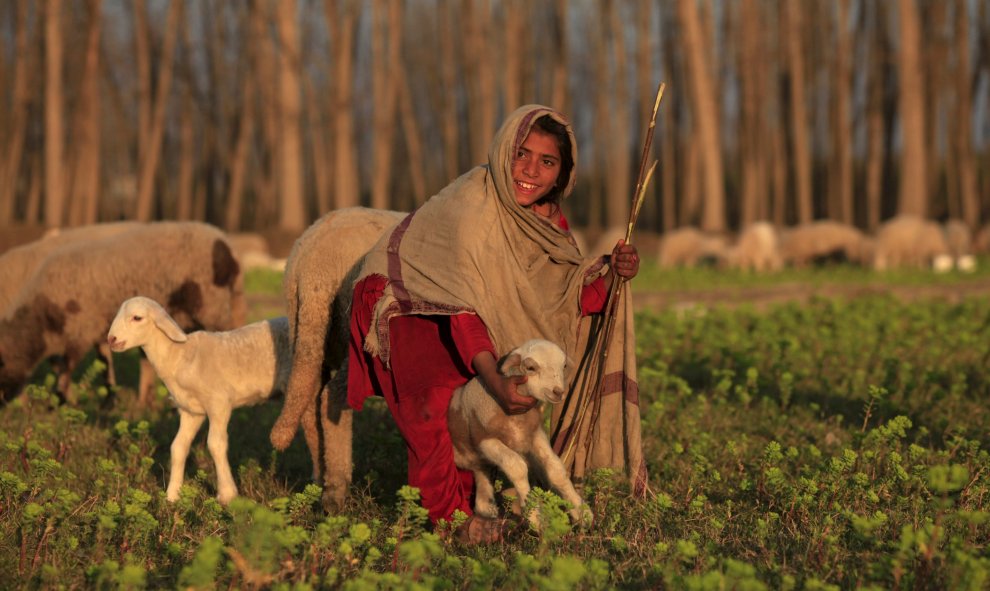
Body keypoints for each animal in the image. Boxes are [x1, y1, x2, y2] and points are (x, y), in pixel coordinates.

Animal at [0, 223, 246, 408]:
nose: (4, 404)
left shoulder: (80, 328)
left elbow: (66, 368)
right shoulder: (97, 328)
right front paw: (108, 400)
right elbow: (101, 363)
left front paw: (58, 403)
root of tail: (228, 248)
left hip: (211, 304)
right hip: (230, 303)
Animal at [107, 296, 290, 504]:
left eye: (137, 318)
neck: (180, 356)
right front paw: (172, 495)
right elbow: (178, 447)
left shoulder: (219, 402)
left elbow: (215, 444)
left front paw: (227, 494)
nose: (111, 339)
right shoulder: (191, 410)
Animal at [452, 340, 592, 528]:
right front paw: (534, 516)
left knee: (481, 476)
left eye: (563, 366)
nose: (558, 392)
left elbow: (556, 469)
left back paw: (486, 510)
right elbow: (517, 467)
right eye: (531, 367)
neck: (516, 418)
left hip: (479, 461)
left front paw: (581, 512)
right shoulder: (485, 440)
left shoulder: (535, 434)